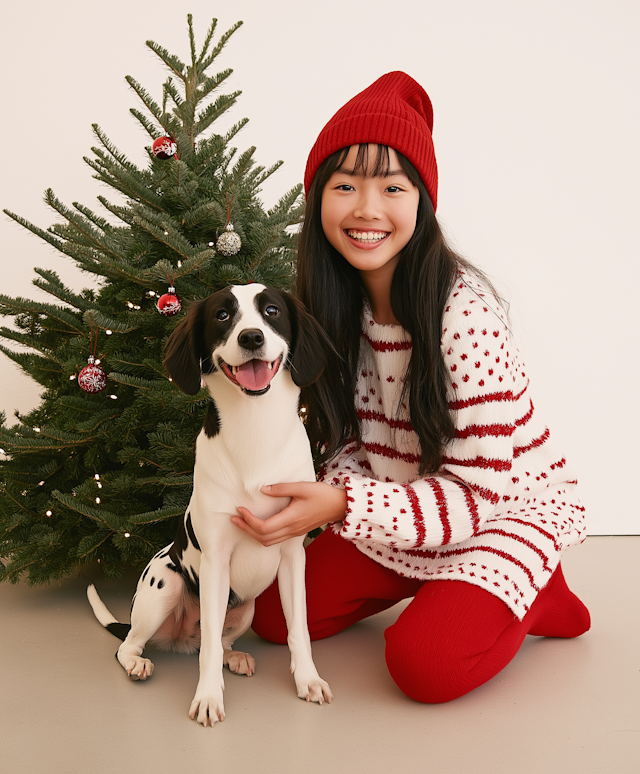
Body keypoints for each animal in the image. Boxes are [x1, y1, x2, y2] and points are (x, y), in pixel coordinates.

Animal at [87, 284, 332, 728]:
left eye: (272, 311)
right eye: (222, 315)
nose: (251, 337)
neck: (255, 426)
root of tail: (181, 638)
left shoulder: (292, 555)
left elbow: (298, 630)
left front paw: (308, 679)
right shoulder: (216, 561)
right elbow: (208, 655)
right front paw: (207, 698)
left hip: (247, 609)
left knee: (215, 641)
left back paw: (234, 657)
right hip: (164, 585)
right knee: (134, 643)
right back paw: (138, 663)